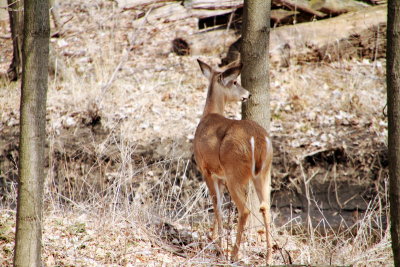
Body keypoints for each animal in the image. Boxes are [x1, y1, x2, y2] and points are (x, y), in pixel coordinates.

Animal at [193, 59, 274, 264]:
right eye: (235, 82)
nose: (248, 94)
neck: (208, 115)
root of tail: (257, 139)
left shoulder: (206, 169)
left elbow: (217, 206)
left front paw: (218, 245)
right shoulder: (219, 175)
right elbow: (219, 204)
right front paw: (213, 237)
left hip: (235, 172)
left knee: (244, 210)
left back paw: (234, 254)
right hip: (264, 172)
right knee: (266, 207)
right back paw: (269, 256)